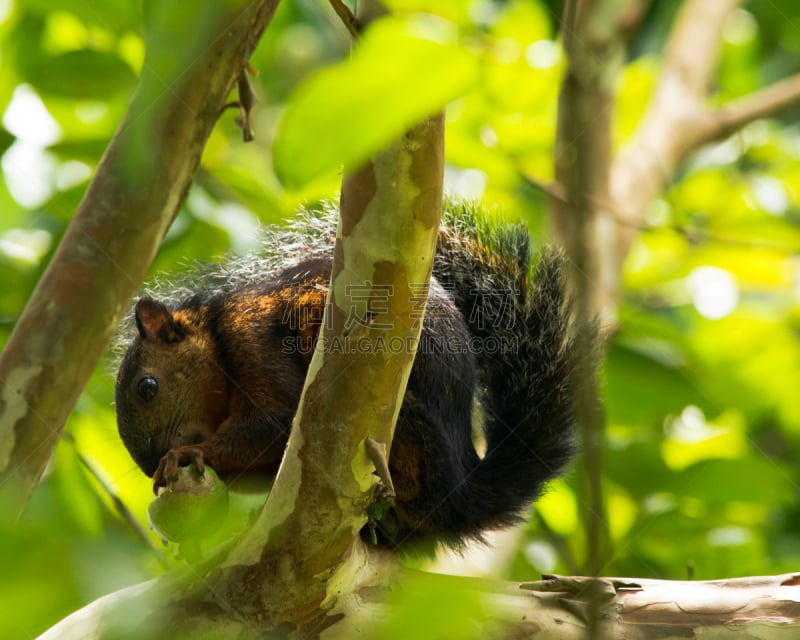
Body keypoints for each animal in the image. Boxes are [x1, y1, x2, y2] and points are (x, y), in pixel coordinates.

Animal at [115, 204, 580, 552]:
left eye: (147, 387)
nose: (149, 460)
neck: (214, 339)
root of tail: (460, 486)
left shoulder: (252, 338)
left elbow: (272, 422)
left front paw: (190, 452)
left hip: (407, 431)